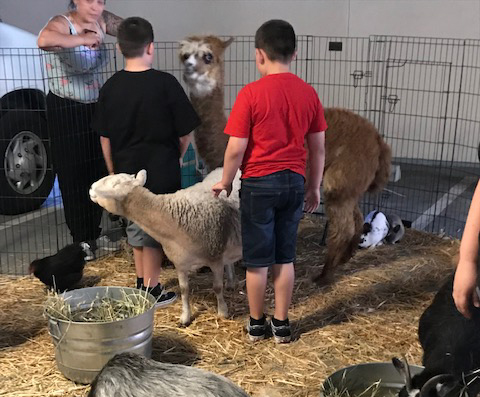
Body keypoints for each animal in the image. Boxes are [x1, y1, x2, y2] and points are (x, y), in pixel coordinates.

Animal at [88, 167, 242, 324]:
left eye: (113, 185)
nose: (91, 188)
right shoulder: (180, 262)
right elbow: (184, 290)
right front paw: (185, 317)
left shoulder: (215, 256)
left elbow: (217, 287)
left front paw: (222, 312)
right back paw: (231, 282)